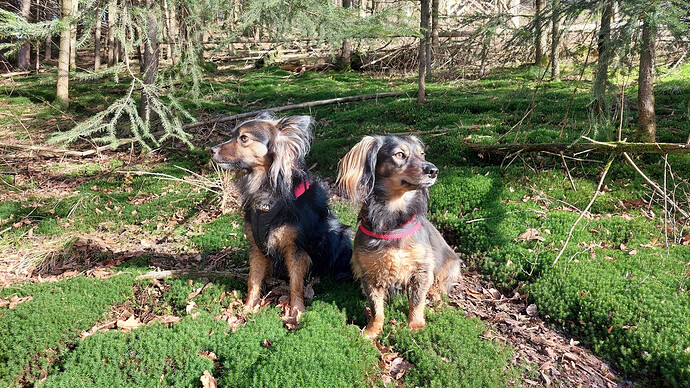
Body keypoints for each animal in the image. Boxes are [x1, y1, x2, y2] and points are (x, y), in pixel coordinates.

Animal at [334, 135, 460, 338]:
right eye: (399, 154)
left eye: (422, 154)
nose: (433, 170)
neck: (393, 221)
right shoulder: (370, 275)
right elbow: (376, 308)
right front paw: (372, 331)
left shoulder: (421, 270)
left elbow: (416, 302)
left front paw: (415, 326)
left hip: (452, 266)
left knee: (440, 285)